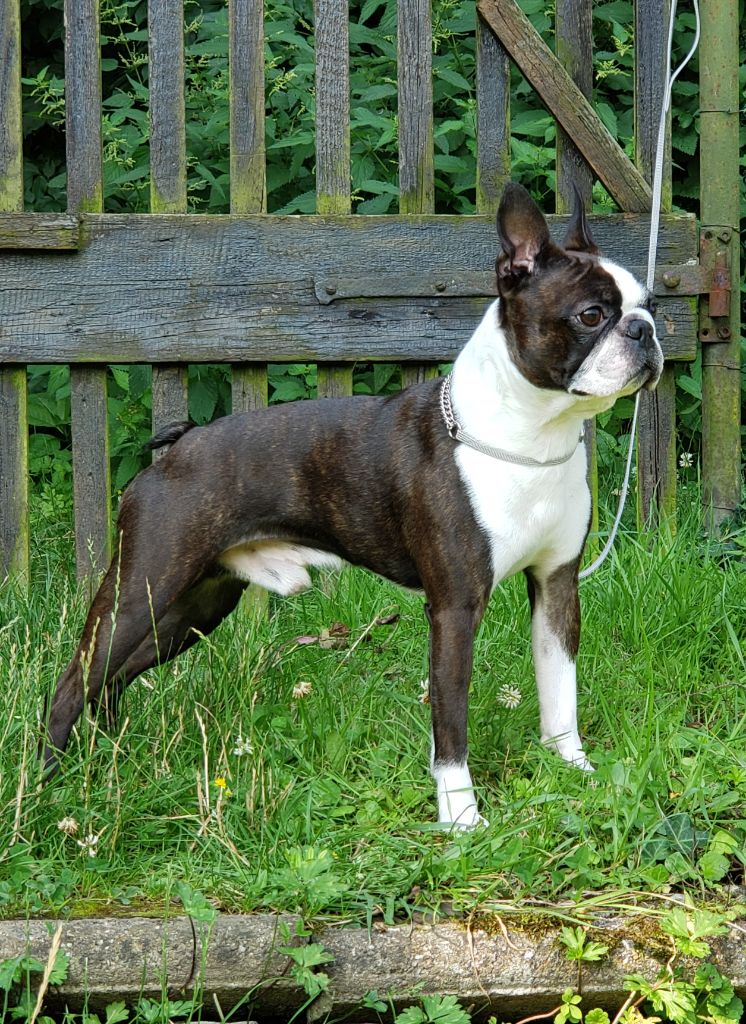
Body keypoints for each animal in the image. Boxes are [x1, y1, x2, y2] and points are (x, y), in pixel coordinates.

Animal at [44, 183, 662, 827]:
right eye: (591, 315)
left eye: (653, 304)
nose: (643, 331)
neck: (533, 439)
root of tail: (180, 445)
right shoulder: (455, 608)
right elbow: (451, 722)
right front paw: (460, 816)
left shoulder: (557, 586)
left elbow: (560, 692)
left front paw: (574, 769)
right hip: (144, 588)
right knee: (73, 683)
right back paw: (49, 786)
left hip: (192, 608)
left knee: (111, 680)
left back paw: (105, 760)